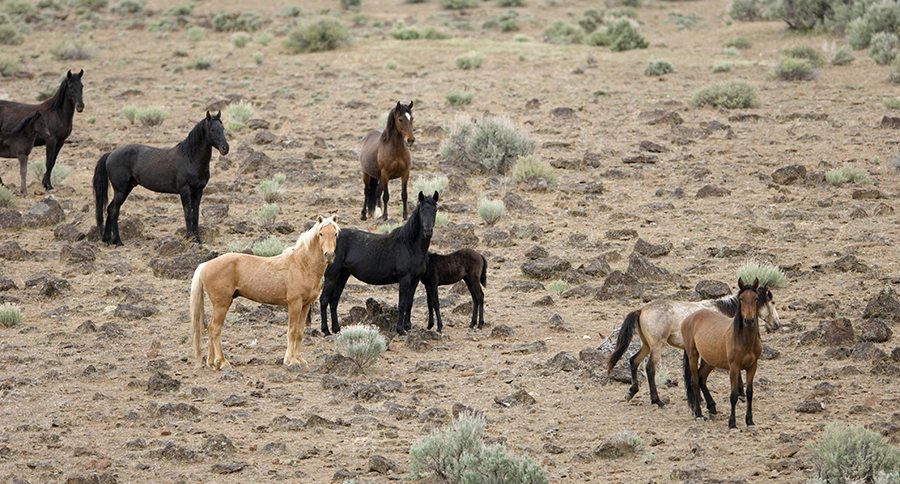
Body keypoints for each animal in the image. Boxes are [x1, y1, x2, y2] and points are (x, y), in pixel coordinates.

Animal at [93, 111, 229, 246]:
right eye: (212, 129)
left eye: (222, 128)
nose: (225, 148)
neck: (190, 158)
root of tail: (111, 154)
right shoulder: (185, 191)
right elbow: (187, 214)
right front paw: (189, 239)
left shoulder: (198, 191)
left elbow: (195, 215)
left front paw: (198, 240)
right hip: (121, 190)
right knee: (114, 211)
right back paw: (118, 241)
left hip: (126, 189)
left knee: (109, 209)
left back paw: (107, 239)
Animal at [190, 216, 340, 369]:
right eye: (321, 233)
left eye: (335, 234)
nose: (329, 255)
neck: (302, 264)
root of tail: (205, 265)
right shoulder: (295, 304)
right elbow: (292, 331)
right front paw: (291, 361)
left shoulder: (305, 305)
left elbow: (299, 332)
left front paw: (299, 359)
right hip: (222, 305)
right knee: (215, 329)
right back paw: (223, 362)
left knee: (210, 328)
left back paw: (212, 362)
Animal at [320, 191, 438, 336]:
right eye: (422, 210)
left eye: (435, 210)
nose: (428, 231)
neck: (410, 245)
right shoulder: (404, 279)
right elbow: (402, 304)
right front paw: (400, 330)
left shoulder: (415, 280)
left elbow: (409, 303)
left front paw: (407, 326)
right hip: (331, 276)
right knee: (324, 300)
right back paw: (326, 331)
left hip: (343, 275)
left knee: (334, 300)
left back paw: (336, 329)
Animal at [606, 287, 780, 407]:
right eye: (771, 302)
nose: (777, 324)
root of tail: (641, 310)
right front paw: (741, 394)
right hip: (656, 346)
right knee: (649, 368)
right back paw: (657, 401)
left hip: (647, 345)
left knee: (633, 361)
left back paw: (631, 392)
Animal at [682, 278, 766, 429]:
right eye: (741, 299)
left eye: (756, 298)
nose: (749, 321)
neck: (744, 340)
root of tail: (690, 318)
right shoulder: (734, 368)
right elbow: (733, 395)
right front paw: (732, 423)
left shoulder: (752, 367)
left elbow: (749, 393)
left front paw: (750, 421)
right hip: (693, 355)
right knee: (695, 381)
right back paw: (699, 414)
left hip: (709, 360)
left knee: (702, 378)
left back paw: (712, 407)